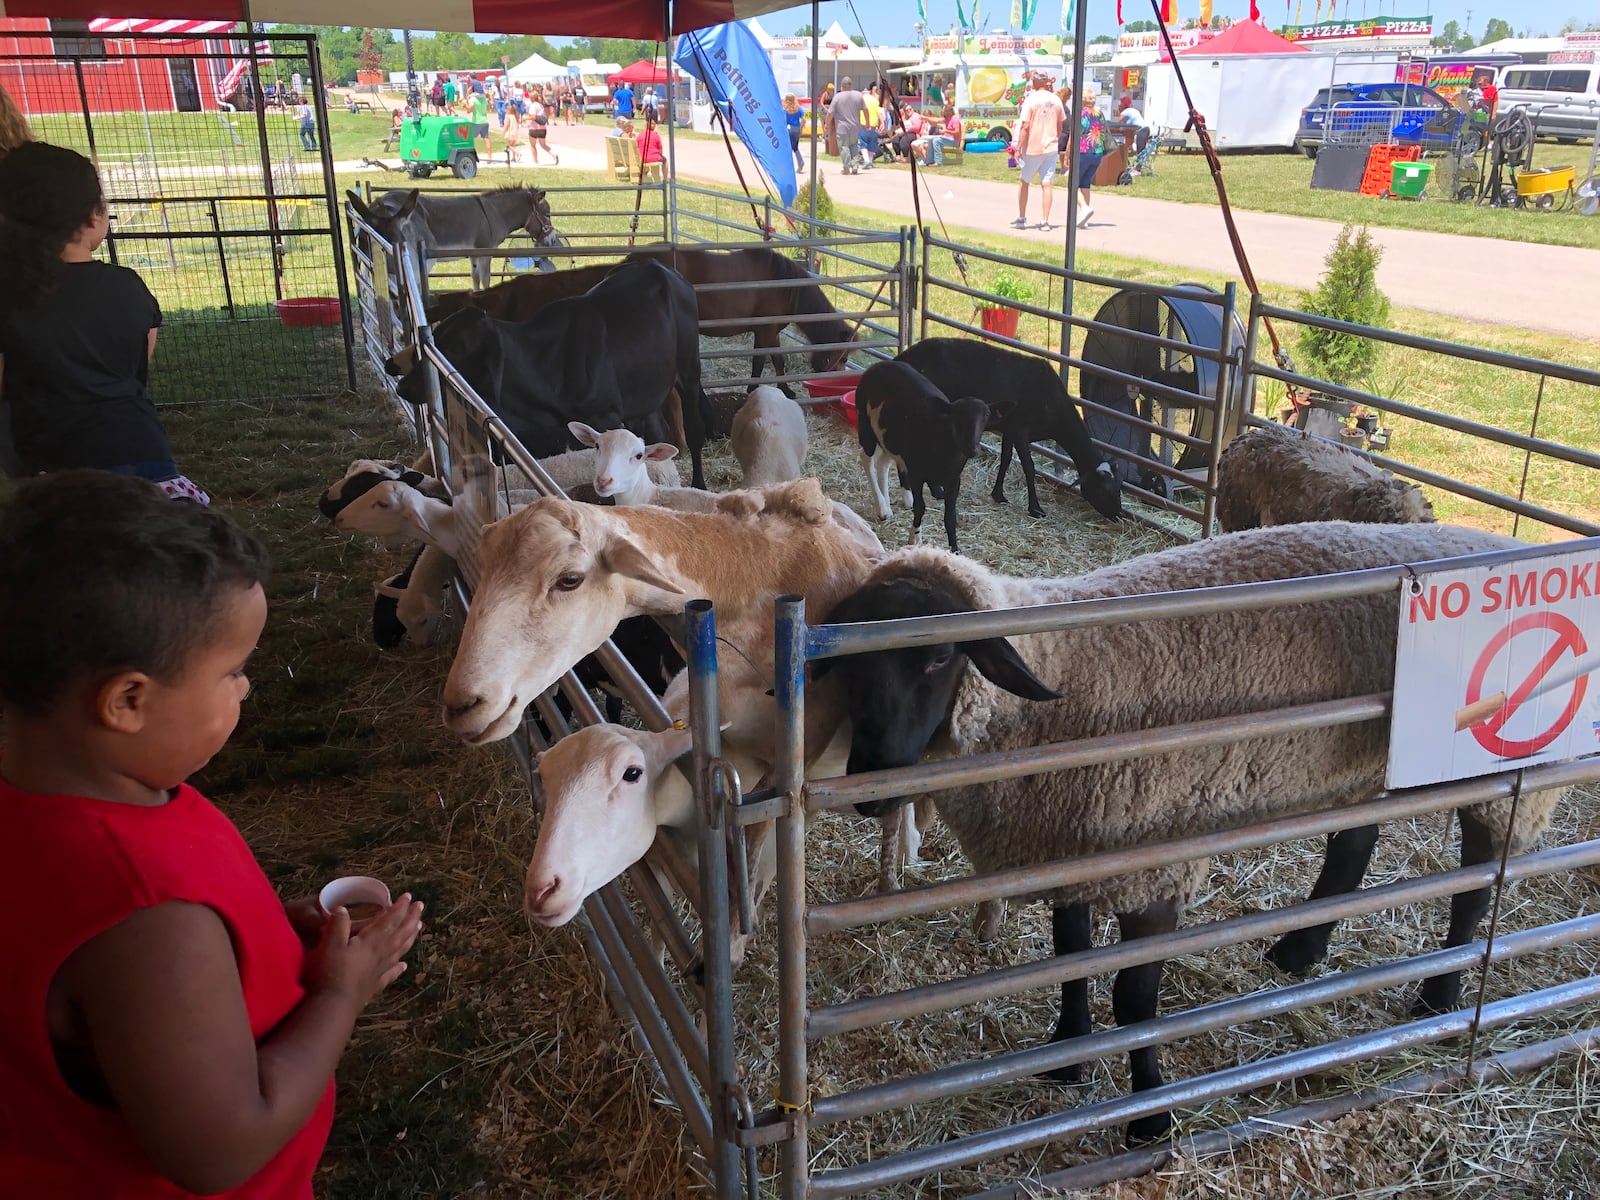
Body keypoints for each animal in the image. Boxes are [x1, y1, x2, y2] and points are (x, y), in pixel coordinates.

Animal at [812, 524, 1561, 1145]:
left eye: (938, 659)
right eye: (849, 663)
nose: (869, 788)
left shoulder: (1153, 866)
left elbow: (1136, 1000)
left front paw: (1149, 1118)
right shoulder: (1069, 852)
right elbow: (1070, 959)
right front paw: (1067, 1054)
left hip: (1495, 768)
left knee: (1478, 876)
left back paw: (1440, 996)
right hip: (1359, 761)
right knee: (1352, 846)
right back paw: (1300, 953)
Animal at [857, 361, 992, 560]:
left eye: (985, 419)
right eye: (957, 419)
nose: (972, 449)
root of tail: (880, 364)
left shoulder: (954, 479)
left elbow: (950, 515)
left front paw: (955, 550)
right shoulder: (917, 473)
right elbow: (920, 507)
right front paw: (915, 539)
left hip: (889, 436)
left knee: (883, 462)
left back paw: (888, 506)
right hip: (865, 423)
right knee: (867, 459)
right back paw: (882, 506)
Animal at [902, 340, 1126, 524]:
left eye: (1119, 487)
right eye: (1104, 490)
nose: (1118, 515)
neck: (1056, 411)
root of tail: (905, 355)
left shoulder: (1009, 429)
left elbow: (1006, 459)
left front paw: (998, 494)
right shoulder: (1021, 430)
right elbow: (1029, 467)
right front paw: (1035, 508)